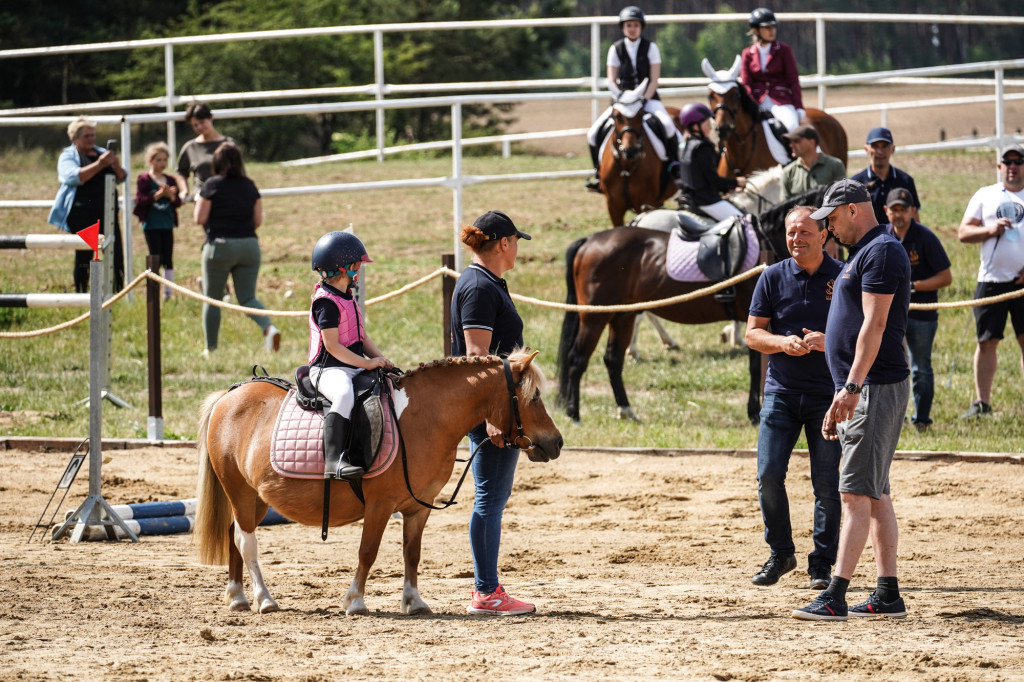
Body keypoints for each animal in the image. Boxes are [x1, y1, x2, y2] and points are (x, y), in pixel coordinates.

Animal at [598, 79, 679, 223]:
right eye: (617, 116)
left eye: (641, 115)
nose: (630, 151)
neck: (626, 167)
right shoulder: (613, 207)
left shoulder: (645, 204)